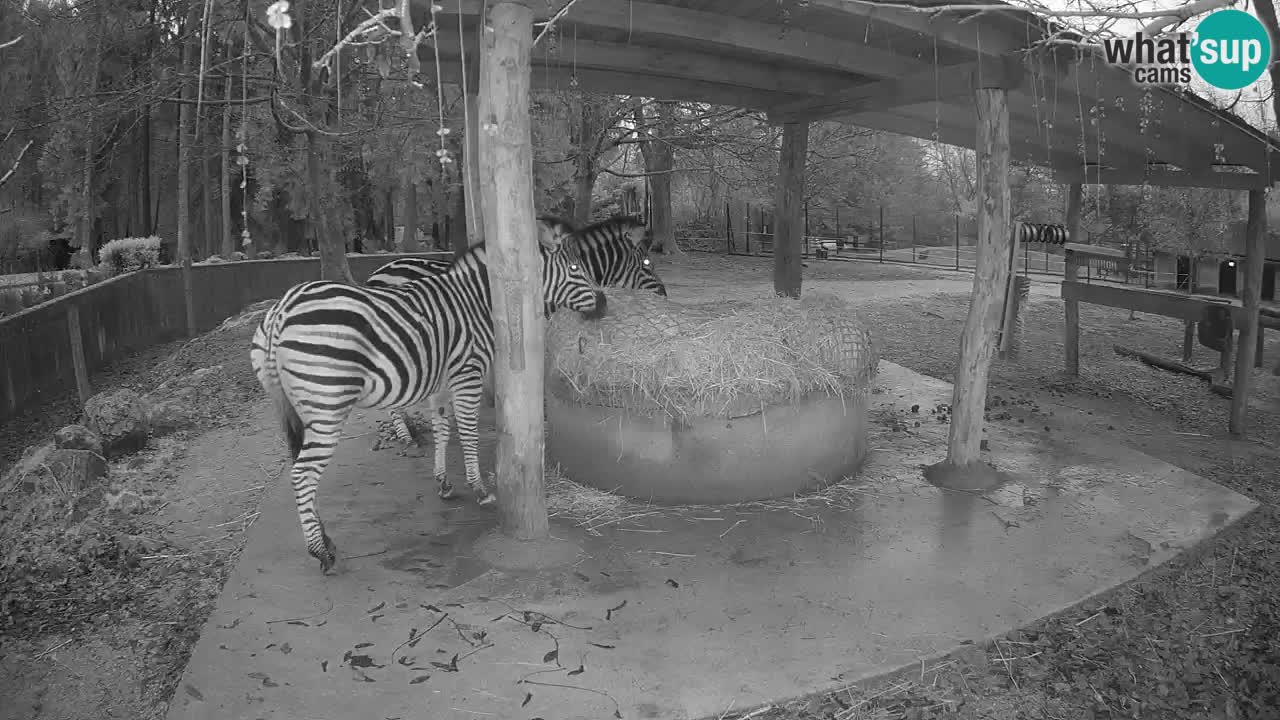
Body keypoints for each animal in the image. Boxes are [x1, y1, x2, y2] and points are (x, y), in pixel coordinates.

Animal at [253, 220, 604, 571]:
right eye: (576, 268)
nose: (603, 305)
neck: (476, 301)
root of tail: (281, 310)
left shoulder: (442, 383)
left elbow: (442, 430)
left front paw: (444, 483)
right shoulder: (468, 373)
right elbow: (467, 431)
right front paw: (480, 489)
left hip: (296, 406)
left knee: (302, 467)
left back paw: (325, 538)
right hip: (326, 404)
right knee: (303, 473)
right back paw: (320, 552)